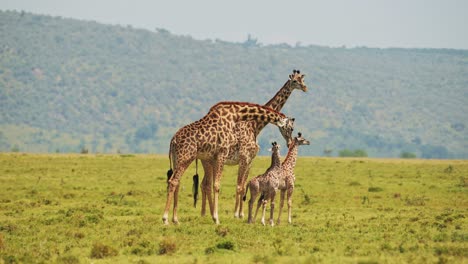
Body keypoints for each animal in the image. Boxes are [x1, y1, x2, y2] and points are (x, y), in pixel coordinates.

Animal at [200, 70, 308, 219]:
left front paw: (241, 213)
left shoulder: (250, 160)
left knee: (204, 183)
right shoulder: (244, 158)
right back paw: (207, 213)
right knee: (206, 184)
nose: (305, 88)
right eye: (295, 81)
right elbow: (239, 186)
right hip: (209, 161)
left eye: (302, 80)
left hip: (209, 162)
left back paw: (206, 213)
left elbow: (244, 184)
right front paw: (236, 214)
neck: (255, 125)